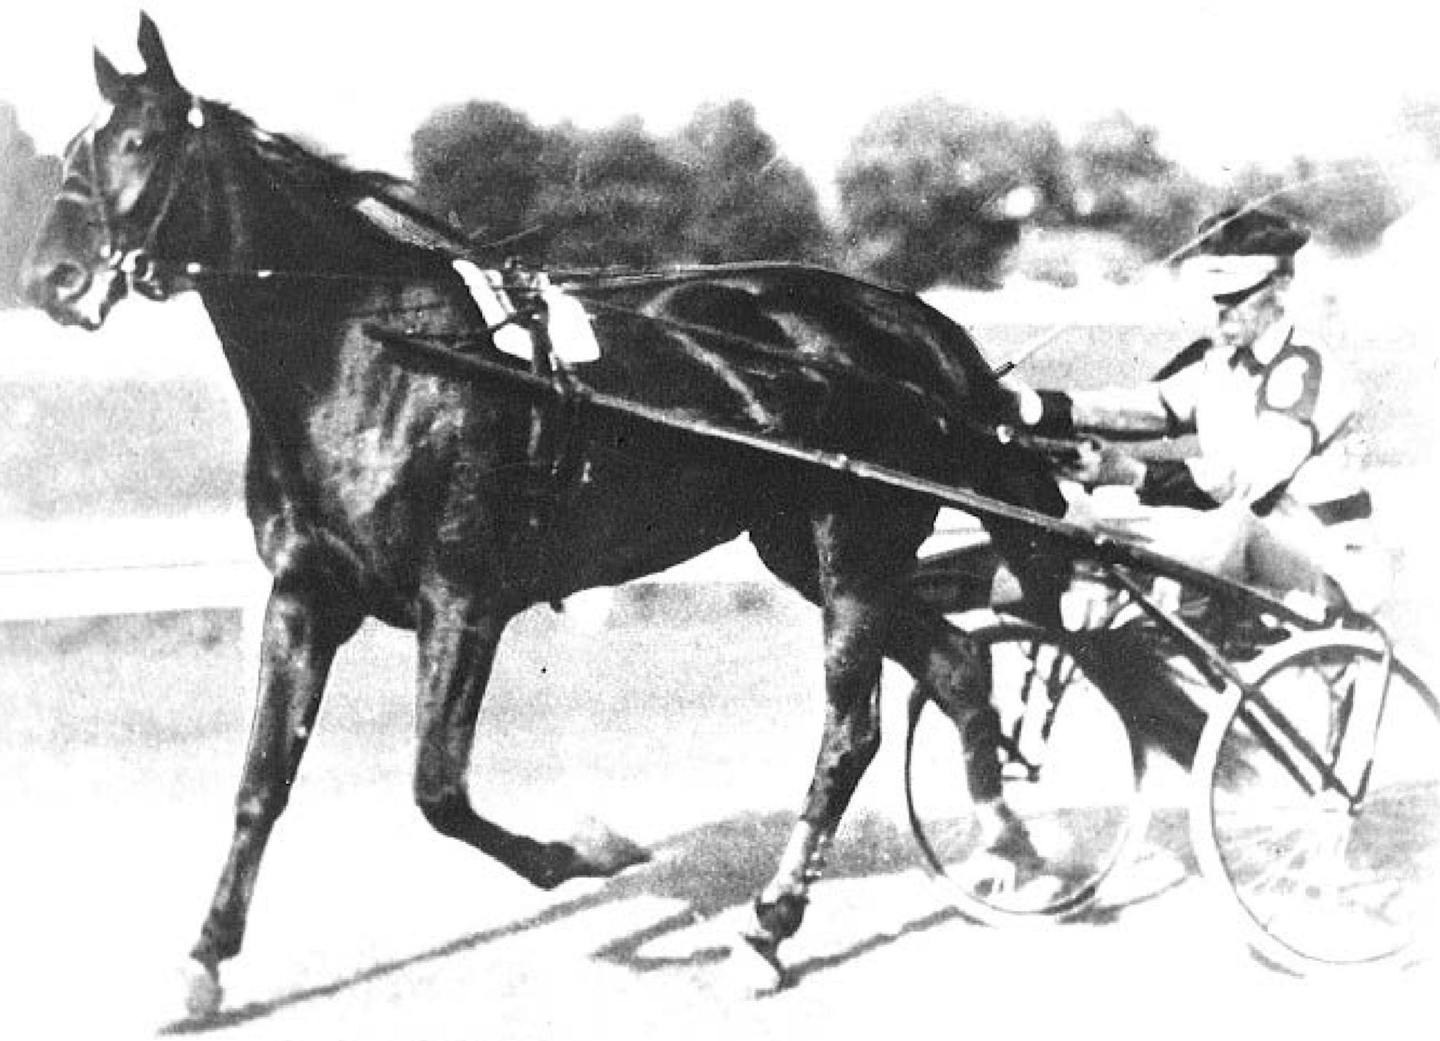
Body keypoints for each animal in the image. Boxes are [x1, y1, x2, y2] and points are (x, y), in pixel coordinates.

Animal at [16, 14, 1065, 1019]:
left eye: (141, 140)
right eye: (71, 149)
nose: (48, 281)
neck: (381, 354)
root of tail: (917, 325)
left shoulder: (463, 597)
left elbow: (438, 790)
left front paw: (588, 848)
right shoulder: (305, 595)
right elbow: (260, 783)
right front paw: (202, 961)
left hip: (855, 547)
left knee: (853, 730)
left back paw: (770, 924)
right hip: (808, 550)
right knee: (958, 663)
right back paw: (1007, 845)